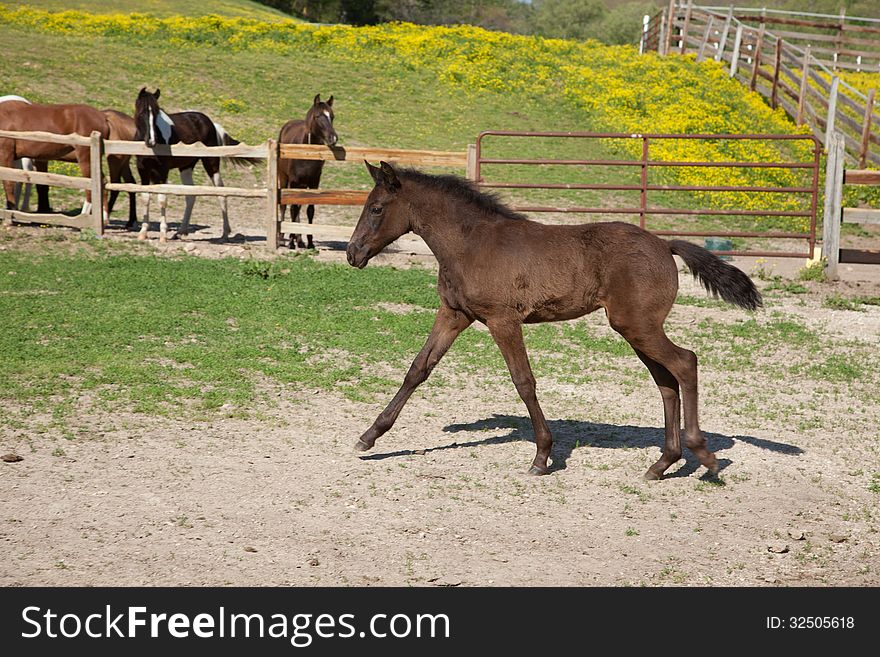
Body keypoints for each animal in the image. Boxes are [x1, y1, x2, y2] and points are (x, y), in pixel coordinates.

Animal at [133, 86, 251, 241]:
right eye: (142, 113)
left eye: (157, 113)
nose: (151, 141)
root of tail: (211, 124)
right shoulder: (143, 170)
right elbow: (146, 198)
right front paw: (143, 232)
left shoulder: (162, 171)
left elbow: (162, 199)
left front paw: (163, 234)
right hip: (186, 167)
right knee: (190, 195)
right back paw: (181, 231)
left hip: (211, 164)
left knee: (220, 192)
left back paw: (225, 233)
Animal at [278, 95, 336, 251]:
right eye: (318, 116)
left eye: (332, 116)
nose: (333, 138)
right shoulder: (293, 181)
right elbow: (292, 208)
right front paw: (291, 242)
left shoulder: (314, 182)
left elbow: (310, 209)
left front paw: (309, 242)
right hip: (284, 178)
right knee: (285, 207)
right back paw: (282, 238)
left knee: (298, 207)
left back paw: (299, 239)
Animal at [348, 161, 760, 480]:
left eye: (377, 208)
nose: (353, 253)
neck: (471, 244)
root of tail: (664, 244)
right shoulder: (454, 314)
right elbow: (418, 369)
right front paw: (369, 436)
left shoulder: (502, 320)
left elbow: (523, 381)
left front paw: (542, 456)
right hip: (636, 330)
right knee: (666, 381)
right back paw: (662, 463)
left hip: (638, 326)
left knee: (685, 363)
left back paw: (703, 456)